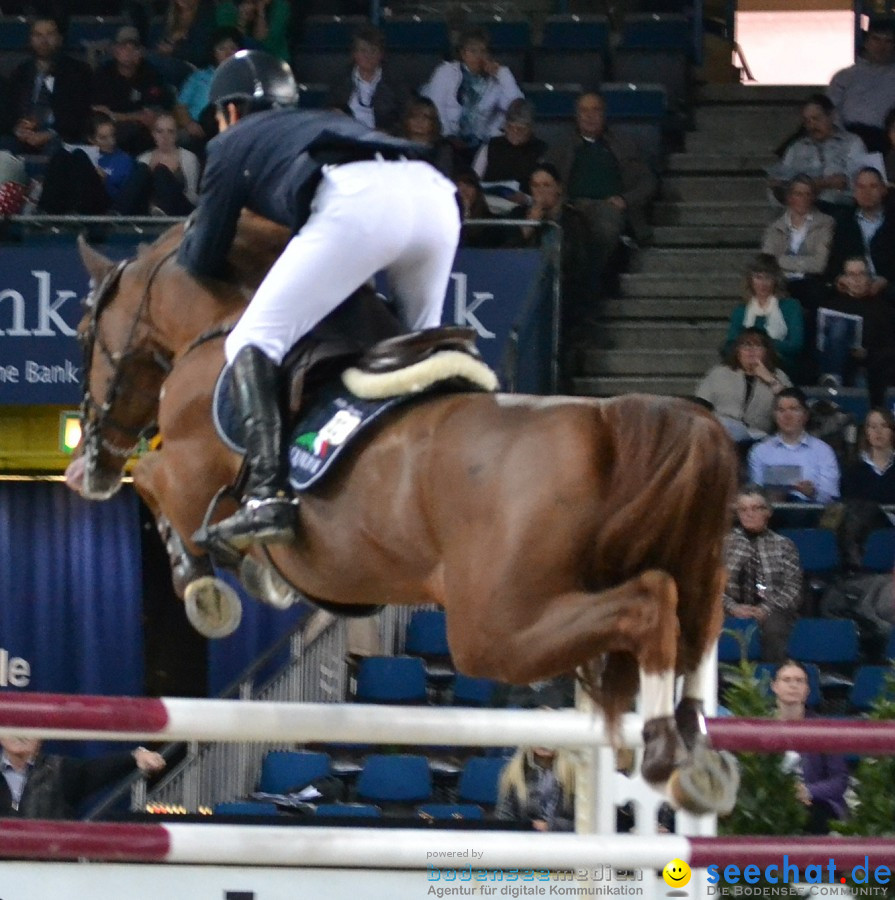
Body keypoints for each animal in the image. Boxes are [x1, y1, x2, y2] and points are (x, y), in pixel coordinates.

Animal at [68, 213, 744, 816]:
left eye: (82, 331)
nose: (87, 463)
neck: (219, 325)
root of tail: (612, 425)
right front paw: (255, 572)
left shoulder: (187, 470)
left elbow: (153, 485)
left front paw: (206, 587)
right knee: (694, 625)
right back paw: (696, 754)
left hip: (495, 630)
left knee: (651, 603)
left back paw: (665, 748)